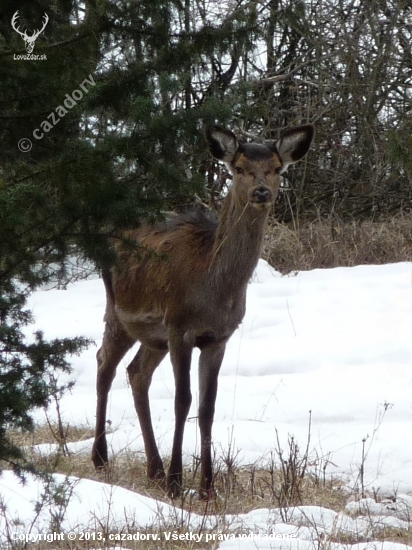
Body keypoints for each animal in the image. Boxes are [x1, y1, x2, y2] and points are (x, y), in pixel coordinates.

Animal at [91, 123, 314, 502]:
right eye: (238, 167)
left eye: (276, 168)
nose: (261, 191)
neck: (213, 290)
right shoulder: (180, 327)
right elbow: (183, 400)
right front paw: (177, 482)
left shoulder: (218, 337)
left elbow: (207, 407)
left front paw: (208, 487)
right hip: (119, 311)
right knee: (104, 363)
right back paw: (101, 458)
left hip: (153, 336)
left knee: (137, 373)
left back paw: (154, 468)